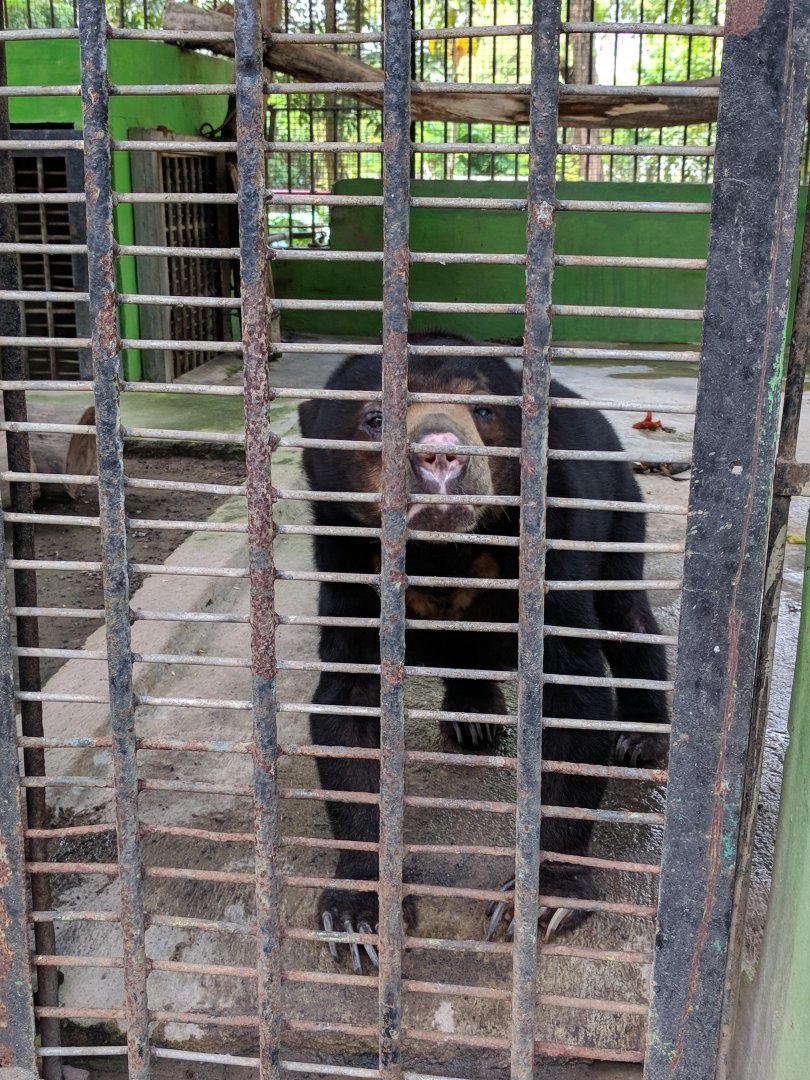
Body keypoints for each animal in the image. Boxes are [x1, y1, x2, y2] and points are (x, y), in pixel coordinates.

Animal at [298, 331, 669, 973]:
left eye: (485, 411)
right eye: (375, 418)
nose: (440, 455)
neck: (444, 554)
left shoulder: (553, 545)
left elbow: (573, 694)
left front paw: (546, 899)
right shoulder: (349, 564)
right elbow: (349, 708)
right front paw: (360, 916)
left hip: (622, 508)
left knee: (629, 616)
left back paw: (643, 738)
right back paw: (472, 716)